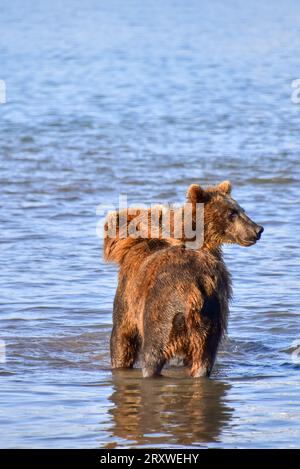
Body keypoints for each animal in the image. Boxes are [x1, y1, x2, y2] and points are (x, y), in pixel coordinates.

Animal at [103, 180, 262, 376]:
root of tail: (195, 285)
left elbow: (121, 337)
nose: (258, 229)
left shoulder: (129, 295)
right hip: (209, 322)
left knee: (152, 354)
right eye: (232, 213)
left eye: (240, 210)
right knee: (203, 361)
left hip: (162, 313)